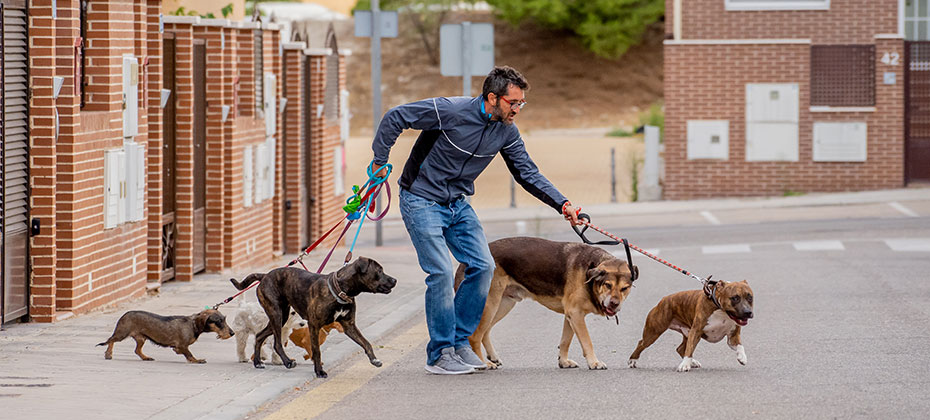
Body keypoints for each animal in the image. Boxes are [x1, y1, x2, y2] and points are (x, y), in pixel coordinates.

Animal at [97, 306, 234, 362]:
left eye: (224, 319)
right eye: (219, 321)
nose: (232, 333)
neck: (193, 324)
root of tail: (125, 314)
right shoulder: (183, 345)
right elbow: (189, 354)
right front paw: (197, 360)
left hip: (141, 338)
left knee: (137, 350)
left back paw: (145, 357)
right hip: (122, 333)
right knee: (110, 340)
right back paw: (108, 353)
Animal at [230, 256, 396, 378]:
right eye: (379, 271)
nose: (395, 280)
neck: (341, 289)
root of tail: (264, 276)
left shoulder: (349, 326)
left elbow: (366, 343)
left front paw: (374, 359)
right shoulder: (314, 325)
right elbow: (316, 350)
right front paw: (319, 371)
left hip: (281, 315)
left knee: (259, 336)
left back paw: (258, 362)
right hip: (276, 314)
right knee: (277, 343)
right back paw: (287, 362)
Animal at [456, 236, 640, 370]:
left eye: (625, 288)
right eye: (607, 285)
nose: (614, 304)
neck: (590, 272)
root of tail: (465, 262)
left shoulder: (571, 316)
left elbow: (565, 341)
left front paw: (563, 361)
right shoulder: (576, 314)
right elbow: (587, 341)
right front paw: (594, 362)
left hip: (504, 304)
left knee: (485, 332)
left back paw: (492, 357)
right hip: (490, 304)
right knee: (474, 336)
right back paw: (483, 363)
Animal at [624, 280, 752, 372]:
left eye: (750, 297)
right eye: (735, 298)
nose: (748, 312)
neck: (721, 311)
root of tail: (663, 299)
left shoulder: (733, 337)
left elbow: (740, 346)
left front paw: (742, 357)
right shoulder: (696, 332)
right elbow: (689, 349)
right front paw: (685, 365)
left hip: (687, 332)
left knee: (680, 348)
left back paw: (693, 362)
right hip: (653, 332)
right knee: (641, 343)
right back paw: (632, 360)